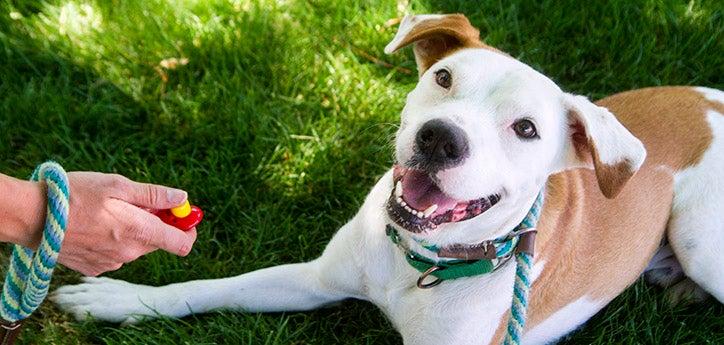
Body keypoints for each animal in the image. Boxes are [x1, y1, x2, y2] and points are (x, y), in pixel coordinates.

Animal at [52, 14, 724, 344]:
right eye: (444, 77)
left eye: (527, 129)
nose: (440, 138)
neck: (420, 263)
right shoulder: (313, 279)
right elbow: (210, 287)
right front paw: (122, 299)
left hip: (699, 237)